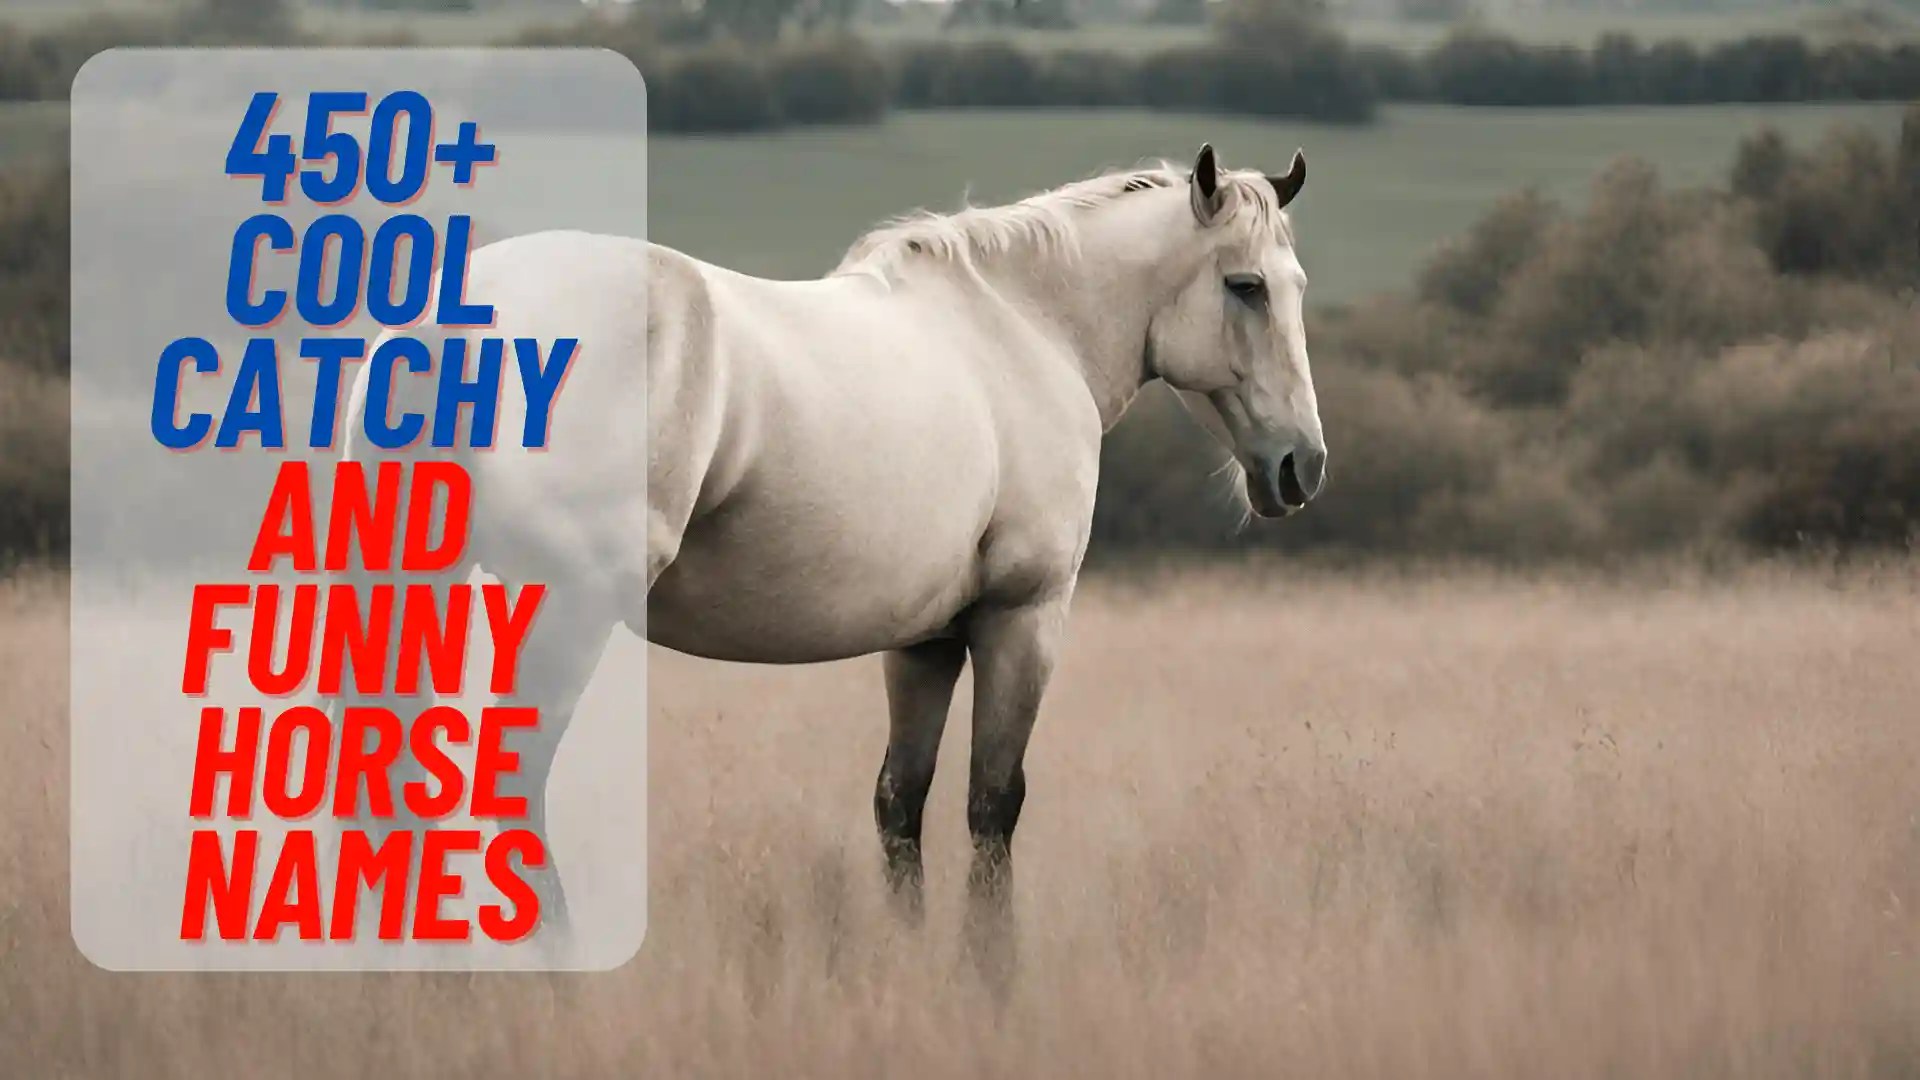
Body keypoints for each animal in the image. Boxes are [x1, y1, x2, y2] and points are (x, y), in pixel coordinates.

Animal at [341, 143, 1326, 970]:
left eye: (1295, 285)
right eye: (1245, 286)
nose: (1302, 466)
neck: (1026, 330)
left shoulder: (925, 642)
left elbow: (901, 804)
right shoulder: (1022, 619)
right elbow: (992, 803)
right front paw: (990, 979)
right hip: (563, 611)